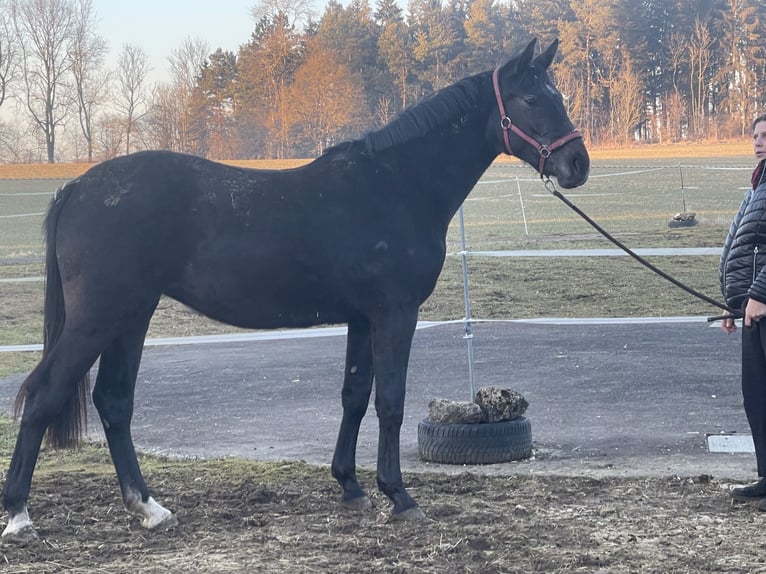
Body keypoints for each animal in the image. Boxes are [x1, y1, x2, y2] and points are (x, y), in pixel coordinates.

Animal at [0, 39, 592, 544]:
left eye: (559, 95)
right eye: (533, 98)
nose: (577, 164)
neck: (396, 184)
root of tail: (77, 187)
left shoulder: (361, 317)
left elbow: (354, 395)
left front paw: (351, 486)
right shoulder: (394, 313)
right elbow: (390, 400)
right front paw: (399, 496)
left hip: (131, 316)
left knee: (114, 402)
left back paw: (149, 509)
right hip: (99, 318)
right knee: (44, 394)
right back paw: (20, 517)